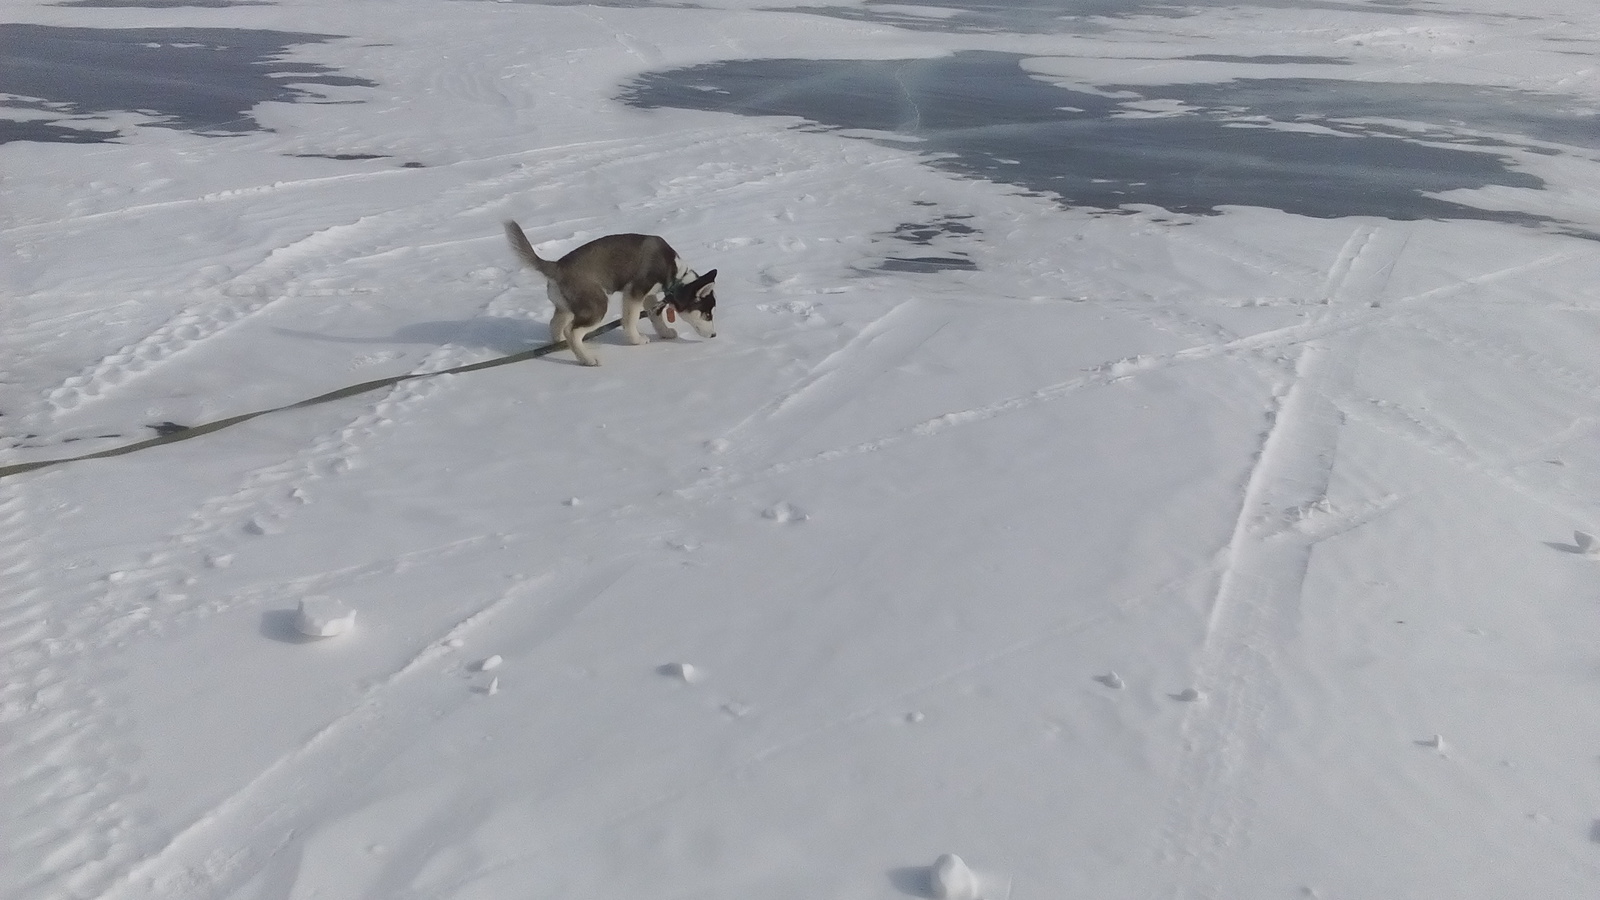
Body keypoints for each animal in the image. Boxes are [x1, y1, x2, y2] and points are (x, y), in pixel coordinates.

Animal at [505, 219, 720, 361]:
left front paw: (665, 332)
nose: (714, 336)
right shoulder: (634, 292)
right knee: (571, 331)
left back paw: (562, 347)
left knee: (555, 325)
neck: (676, 275)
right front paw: (636, 340)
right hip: (597, 305)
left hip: (567, 307)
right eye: (707, 314)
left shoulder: (649, 295)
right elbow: (630, 319)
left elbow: (656, 317)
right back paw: (587, 360)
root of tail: (556, 266)